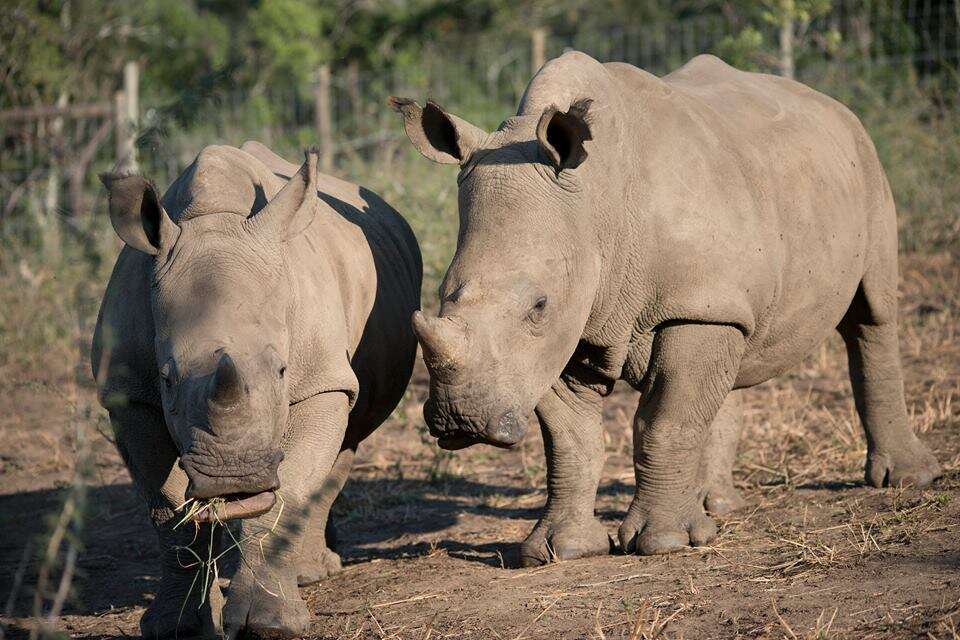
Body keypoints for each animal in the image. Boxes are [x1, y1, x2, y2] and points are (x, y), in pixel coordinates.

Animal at [93, 142, 420, 636]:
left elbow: (290, 491)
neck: (214, 219)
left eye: (283, 371)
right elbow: (166, 507)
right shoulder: (130, 394)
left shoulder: (320, 382)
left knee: (346, 438)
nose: (234, 476)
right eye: (167, 378)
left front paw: (268, 624)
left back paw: (313, 573)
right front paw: (177, 627)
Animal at [392, 53, 944, 564]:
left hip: (865, 165)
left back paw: (906, 479)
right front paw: (560, 551)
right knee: (731, 355)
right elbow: (570, 438)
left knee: (872, 315)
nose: (460, 419)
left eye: (538, 305)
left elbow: (665, 422)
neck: (596, 204)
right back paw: (716, 507)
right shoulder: (568, 330)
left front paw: (664, 543)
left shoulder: (674, 308)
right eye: (444, 292)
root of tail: (832, 103)